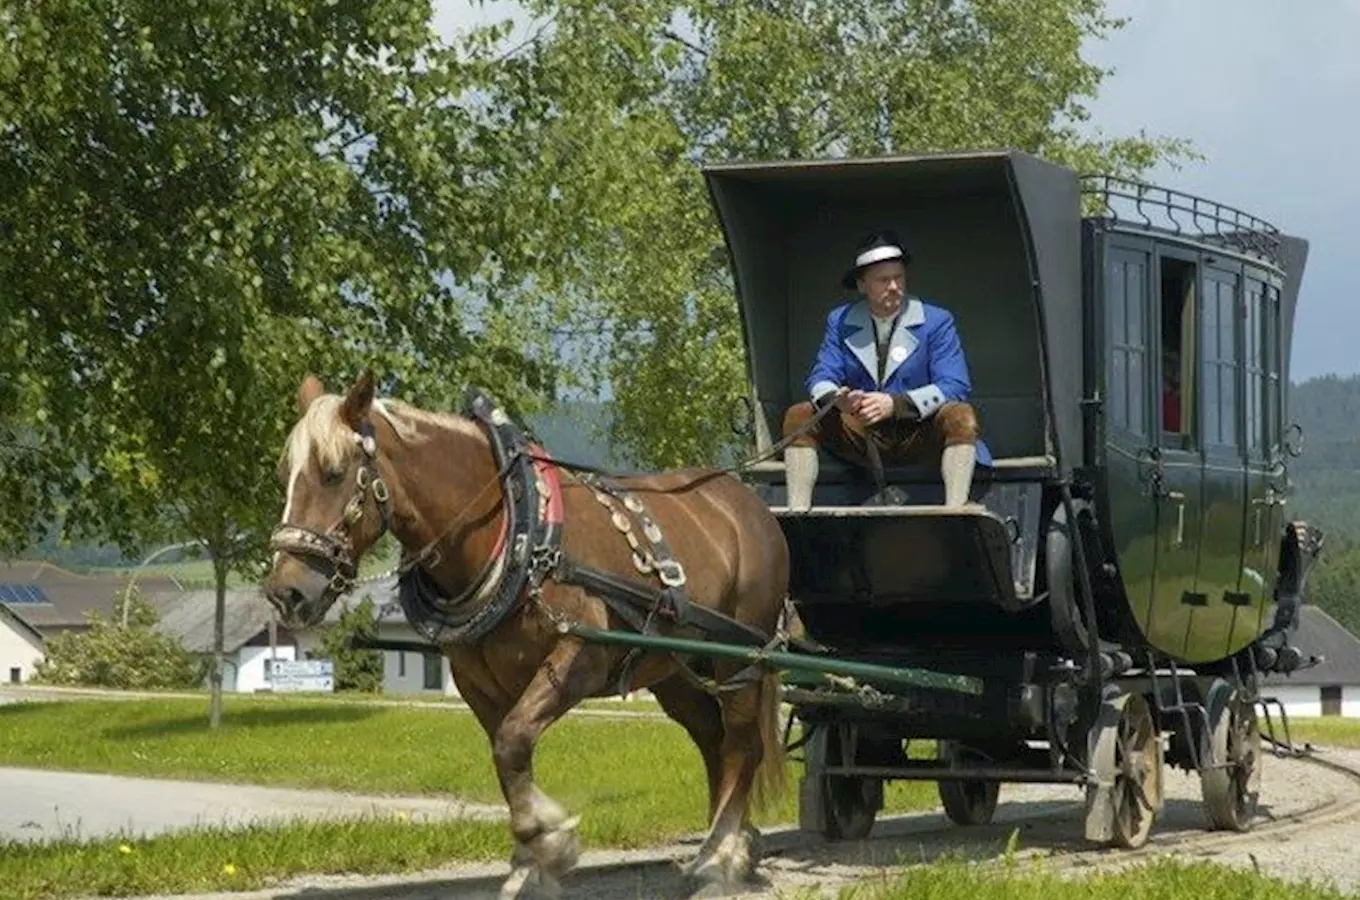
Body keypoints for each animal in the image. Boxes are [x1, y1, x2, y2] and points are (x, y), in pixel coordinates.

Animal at [261, 369, 794, 897]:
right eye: (285, 475)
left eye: (333, 471)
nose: (286, 592)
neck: (520, 533)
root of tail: (745, 501)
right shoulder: (477, 682)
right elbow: (507, 759)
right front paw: (527, 863)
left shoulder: (577, 657)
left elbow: (513, 741)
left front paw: (551, 841)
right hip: (671, 666)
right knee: (711, 735)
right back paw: (733, 845)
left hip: (742, 654)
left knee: (742, 743)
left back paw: (719, 858)